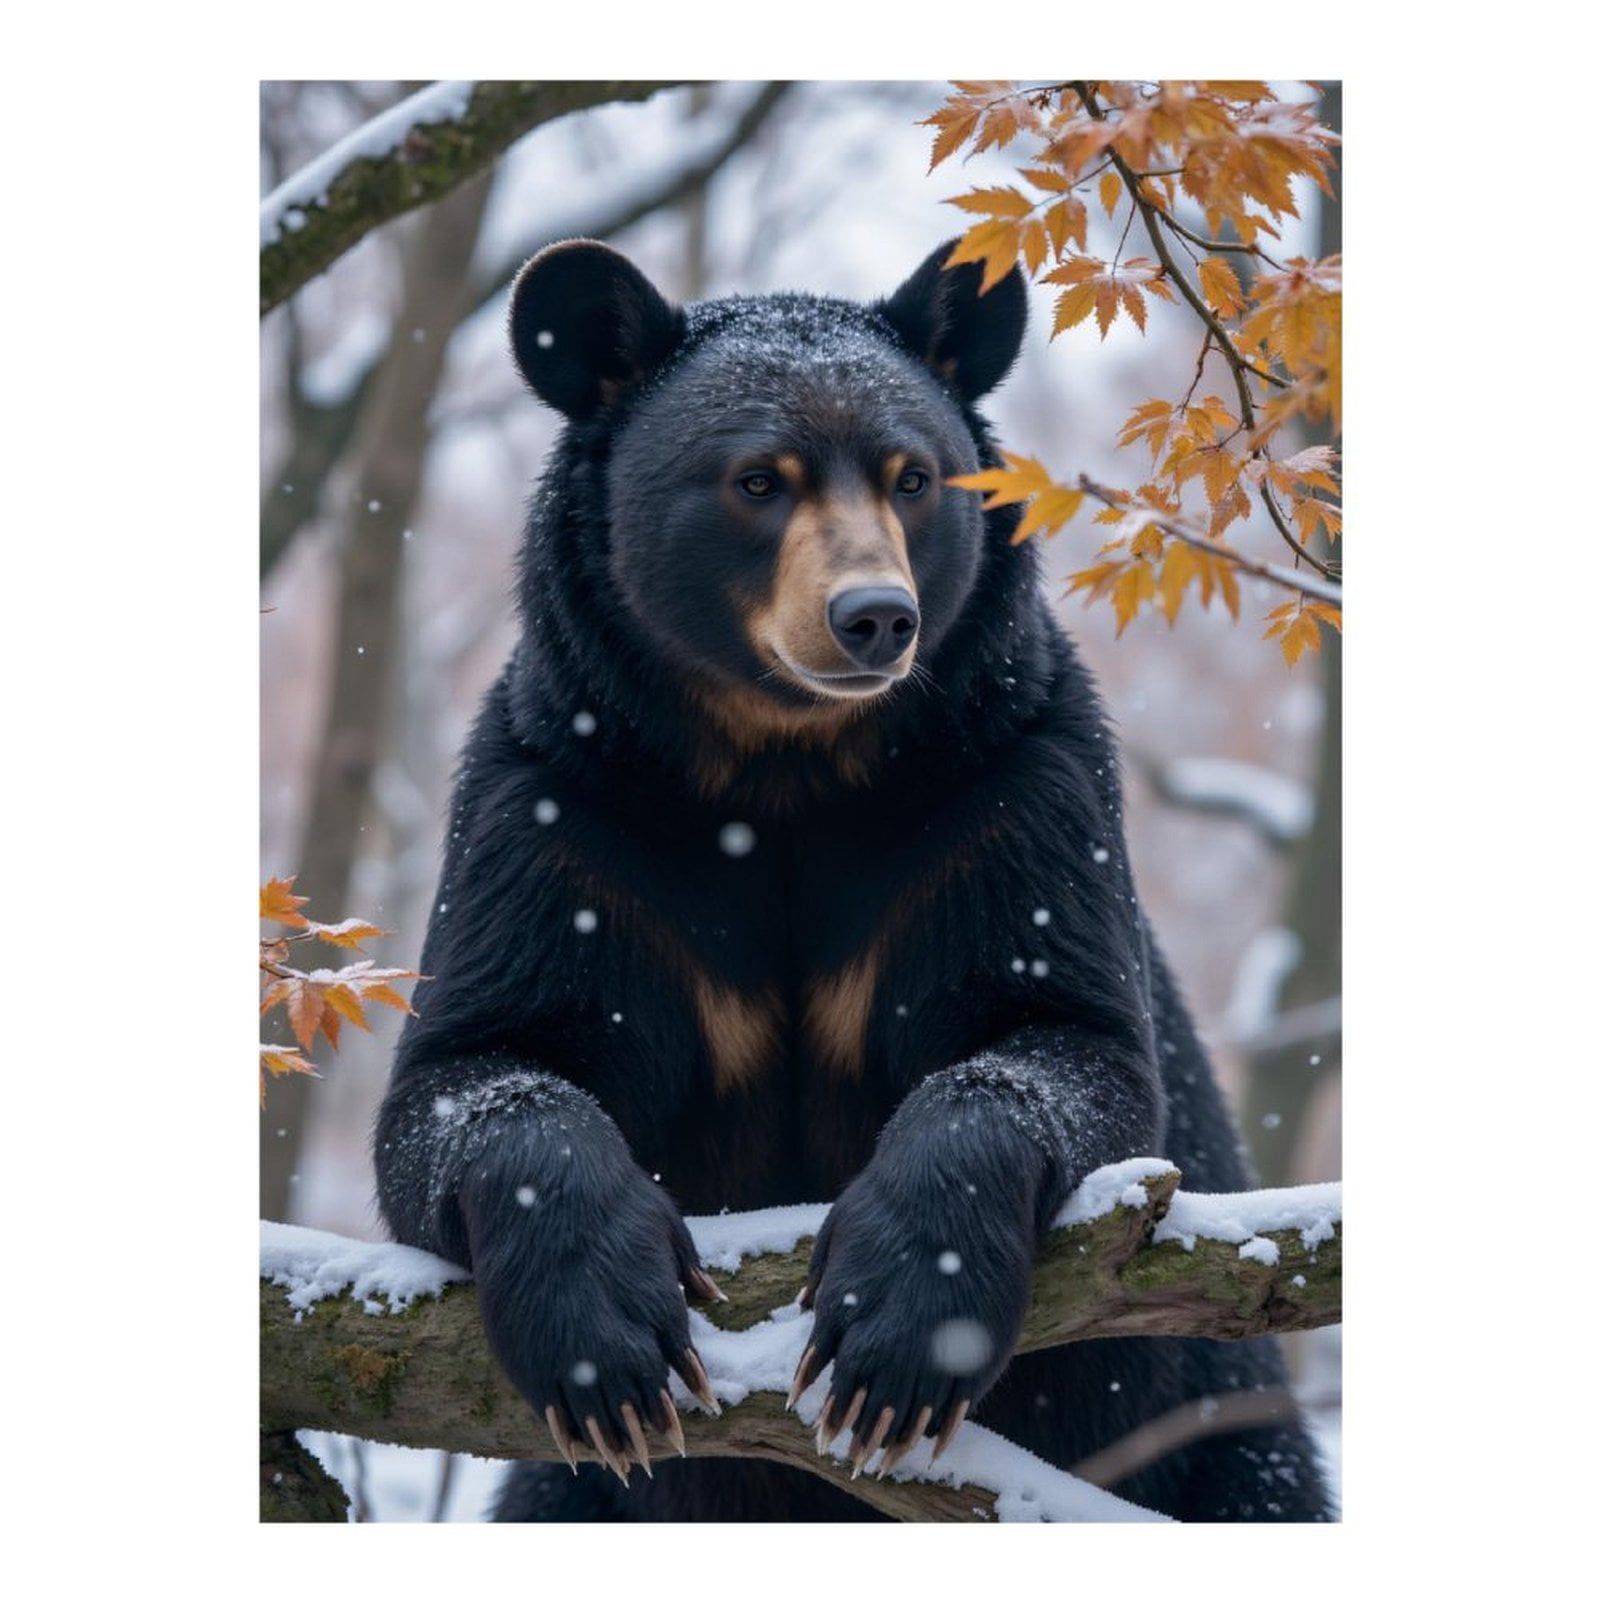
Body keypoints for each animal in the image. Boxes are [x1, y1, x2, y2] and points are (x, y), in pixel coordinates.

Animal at [372, 237, 1334, 1523]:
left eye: (912, 477)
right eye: (755, 481)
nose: (874, 617)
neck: (785, 771)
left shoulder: (1019, 786)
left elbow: (1064, 1040)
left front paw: (891, 1338)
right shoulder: (555, 807)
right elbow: (472, 1067)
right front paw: (608, 1345)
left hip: (1208, 1422)